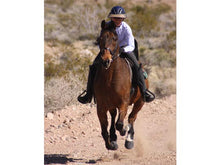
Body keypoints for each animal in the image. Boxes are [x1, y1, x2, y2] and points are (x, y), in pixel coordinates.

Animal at [93, 20, 150, 150]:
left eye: (115, 38)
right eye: (100, 38)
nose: (106, 60)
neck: (110, 78)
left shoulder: (123, 103)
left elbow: (120, 124)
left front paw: (124, 131)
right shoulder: (101, 106)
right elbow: (104, 129)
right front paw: (111, 144)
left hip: (140, 102)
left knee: (131, 117)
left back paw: (129, 140)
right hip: (112, 105)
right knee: (114, 116)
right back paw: (114, 137)